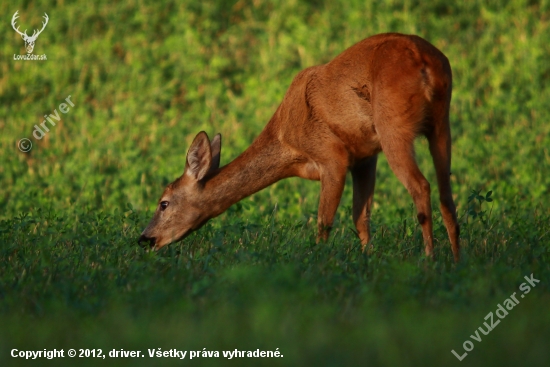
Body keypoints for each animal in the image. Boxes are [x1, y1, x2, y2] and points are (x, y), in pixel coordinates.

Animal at [138, 31, 462, 262]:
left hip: (393, 125)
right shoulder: (365, 157)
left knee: (421, 186)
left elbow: (324, 223)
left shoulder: (332, 155)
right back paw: (457, 259)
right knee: (446, 193)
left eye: (163, 203)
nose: (144, 238)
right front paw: (366, 261)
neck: (287, 144)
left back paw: (429, 258)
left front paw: (319, 263)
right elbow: (361, 218)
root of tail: (425, 62)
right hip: (441, 122)